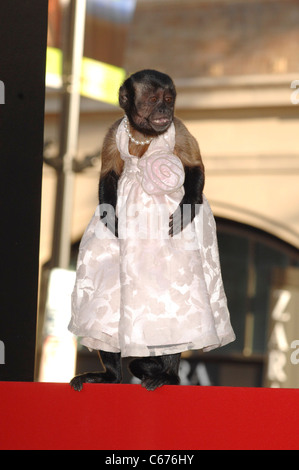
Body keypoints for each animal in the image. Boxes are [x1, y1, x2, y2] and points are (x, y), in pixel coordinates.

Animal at [69, 69, 236, 392]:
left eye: (168, 100)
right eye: (152, 100)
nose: (163, 112)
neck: (145, 135)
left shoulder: (179, 128)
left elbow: (195, 168)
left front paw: (187, 208)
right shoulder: (112, 131)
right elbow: (109, 176)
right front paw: (111, 219)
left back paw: (168, 374)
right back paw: (112, 376)